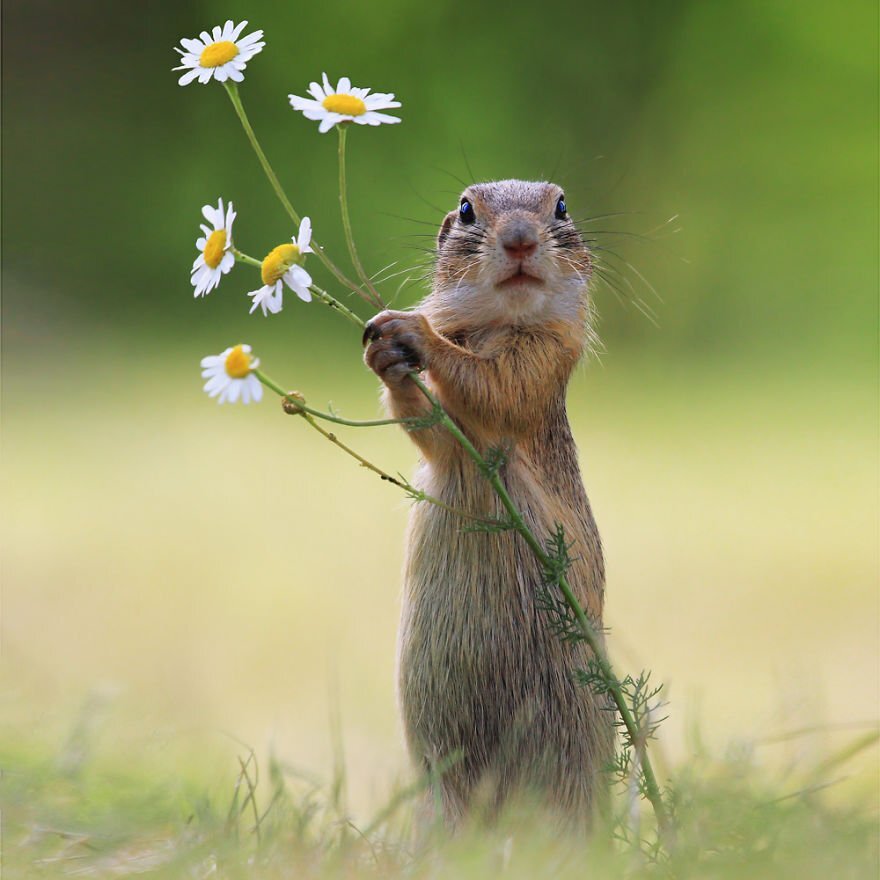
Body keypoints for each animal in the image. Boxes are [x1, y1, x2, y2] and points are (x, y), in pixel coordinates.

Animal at [362, 179, 612, 824]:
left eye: (562, 206)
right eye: (467, 209)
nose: (520, 239)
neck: (501, 324)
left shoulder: (544, 358)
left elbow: (495, 387)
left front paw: (414, 332)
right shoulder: (450, 444)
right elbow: (430, 424)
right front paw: (386, 355)